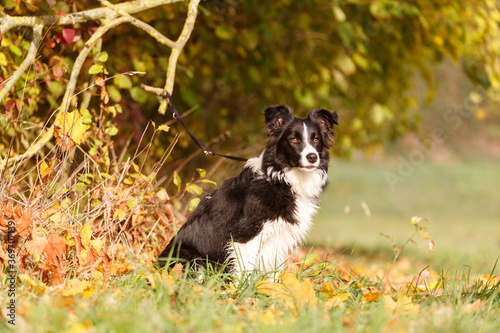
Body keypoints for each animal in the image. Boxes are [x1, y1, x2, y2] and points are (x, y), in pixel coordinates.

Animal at [159, 104, 340, 274]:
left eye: (315, 140)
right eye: (294, 140)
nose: (312, 157)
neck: (280, 179)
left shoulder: (279, 239)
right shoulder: (245, 236)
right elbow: (243, 273)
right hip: (193, 261)